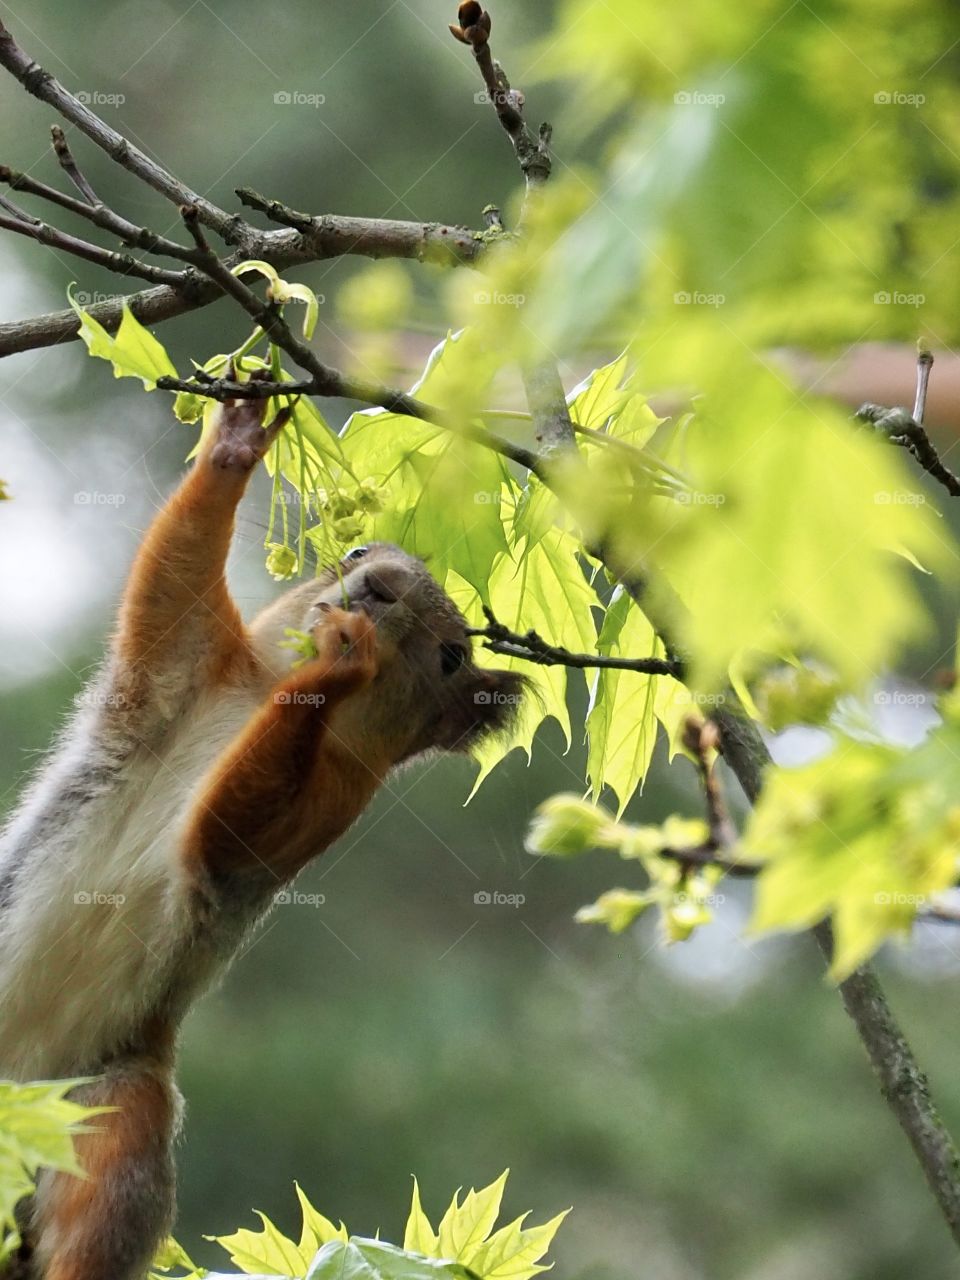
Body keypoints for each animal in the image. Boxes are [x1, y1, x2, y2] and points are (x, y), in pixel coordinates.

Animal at [0, 380, 523, 1280]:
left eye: (454, 656)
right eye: (355, 552)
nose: (379, 584)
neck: (260, 692)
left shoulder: (334, 797)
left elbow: (231, 832)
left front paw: (343, 659)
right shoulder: (186, 664)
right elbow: (171, 579)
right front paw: (237, 440)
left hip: (99, 1109)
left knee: (102, 1192)